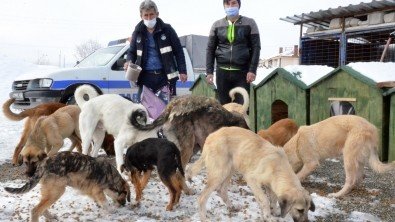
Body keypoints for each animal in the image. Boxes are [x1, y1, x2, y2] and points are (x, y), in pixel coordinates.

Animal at [187, 126, 318, 222]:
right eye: (300, 210)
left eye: (307, 209)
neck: (278, 167)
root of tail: (211, 136)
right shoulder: (251, 179)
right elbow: (264, 199)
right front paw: (268, 216)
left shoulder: (270, 185)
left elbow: (272, 199)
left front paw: (273, 212)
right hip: (220, 173)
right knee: (202, 198)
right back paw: (204, 218)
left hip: (230, 169)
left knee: (222, 190)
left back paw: (232, 206)